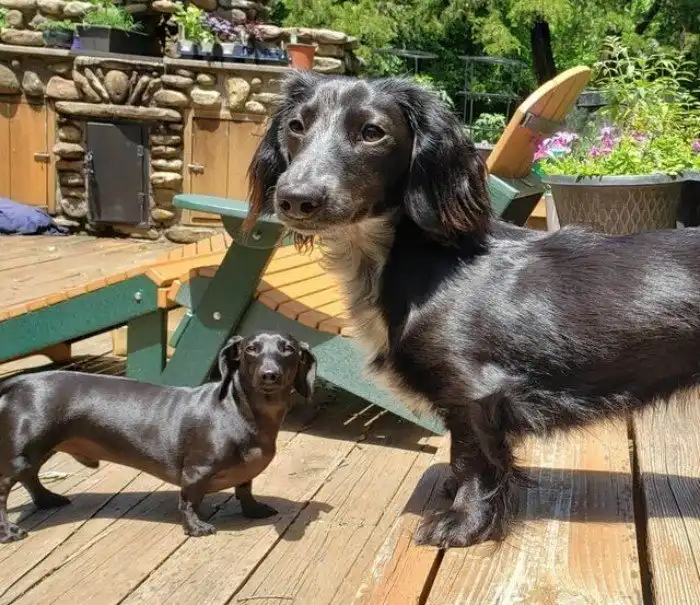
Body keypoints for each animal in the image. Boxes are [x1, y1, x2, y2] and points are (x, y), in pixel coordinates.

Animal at [0, 332, 316, 543]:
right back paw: (9, 532)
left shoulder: (246, 471)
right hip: (24, 453)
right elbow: (188, 501)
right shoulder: (196, 472)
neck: (240, 412)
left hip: (40, 450)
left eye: (288, 349)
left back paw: (47, 499)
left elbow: (245, 489)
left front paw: (254, 509)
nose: (269, 375)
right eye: (251, 348)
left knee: (32, 477)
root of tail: (21, 381)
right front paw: (196, 527)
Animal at [244, 70, 700, 549]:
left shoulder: (474, 392)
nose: (296, 198)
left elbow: (475, 459)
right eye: (296, 126)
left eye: (372, 132)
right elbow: (462, 456)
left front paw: (463, 522)